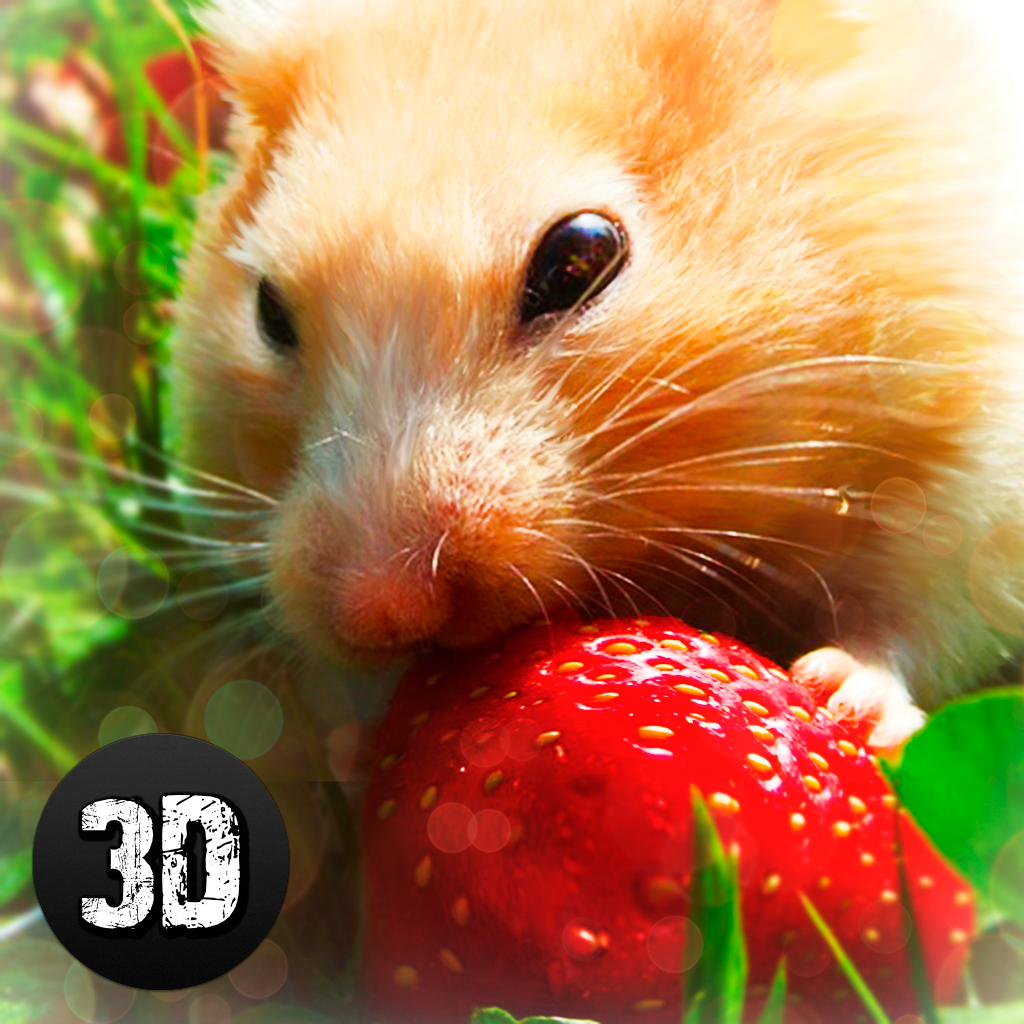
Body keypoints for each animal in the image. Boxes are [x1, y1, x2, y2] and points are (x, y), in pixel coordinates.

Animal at [174, 0, 1024, 747]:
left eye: (578, 256)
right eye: (269, 310)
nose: (383, 612)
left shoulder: (974, 468)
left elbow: (914, 616)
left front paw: (837, 695)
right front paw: (355, 745)